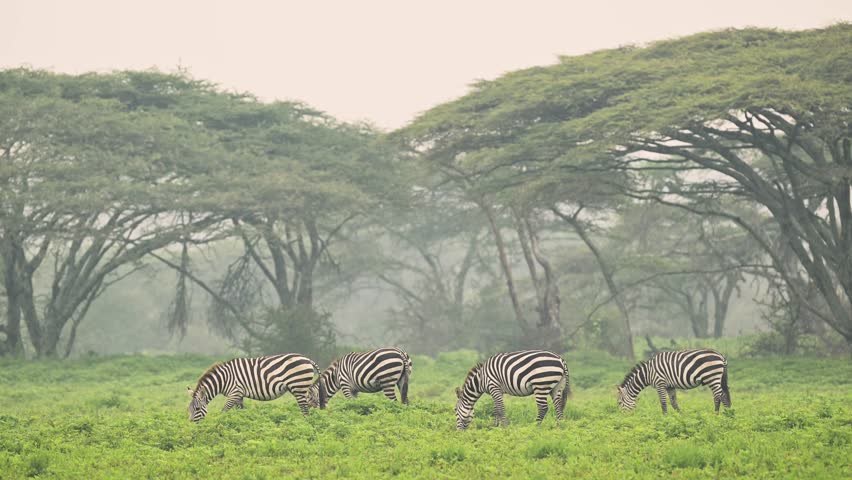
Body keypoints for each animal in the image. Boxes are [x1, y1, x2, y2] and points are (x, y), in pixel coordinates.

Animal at [186, 353, 319, 422]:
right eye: (189, 409)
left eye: (197, 409)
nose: (191, 424)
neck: (224, 379)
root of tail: (307, 359)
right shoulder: (239, 395)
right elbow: (241, 411)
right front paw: (243, 424)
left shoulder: (234, 393)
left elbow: (223, 411)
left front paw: (219, 423)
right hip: (302, 388)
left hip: (298, 387)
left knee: (304, 409)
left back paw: (305, 423)